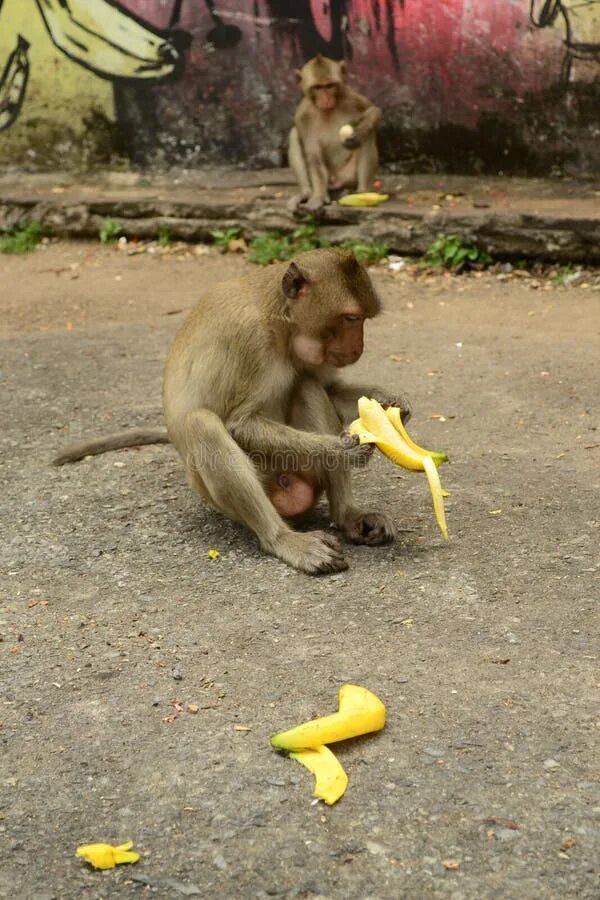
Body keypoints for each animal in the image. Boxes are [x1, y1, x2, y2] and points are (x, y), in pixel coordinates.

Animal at [54, 250, 410, 572]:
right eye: (351, 318)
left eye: (363, 319)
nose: (358, 347)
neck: (279, 323)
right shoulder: (247, 337)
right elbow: (239, 423)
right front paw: (342, 449)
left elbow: (329, 388)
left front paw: (391, 403)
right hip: (244, 489)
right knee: (203, 424)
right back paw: (282, 539)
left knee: (307, 385)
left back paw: (347, 516)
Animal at [290, 54, 382, 213]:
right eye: (317, 87)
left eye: (330, 86)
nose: (326, 97)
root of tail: (335, 181)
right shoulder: (303, 115)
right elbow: (314, 156)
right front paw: (318, 197)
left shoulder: (349, 95)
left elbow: (373, 110)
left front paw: (359, 133)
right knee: (294, 134)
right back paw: (306, 193)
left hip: (348, 175)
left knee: (369, 136)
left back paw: (362, 191)